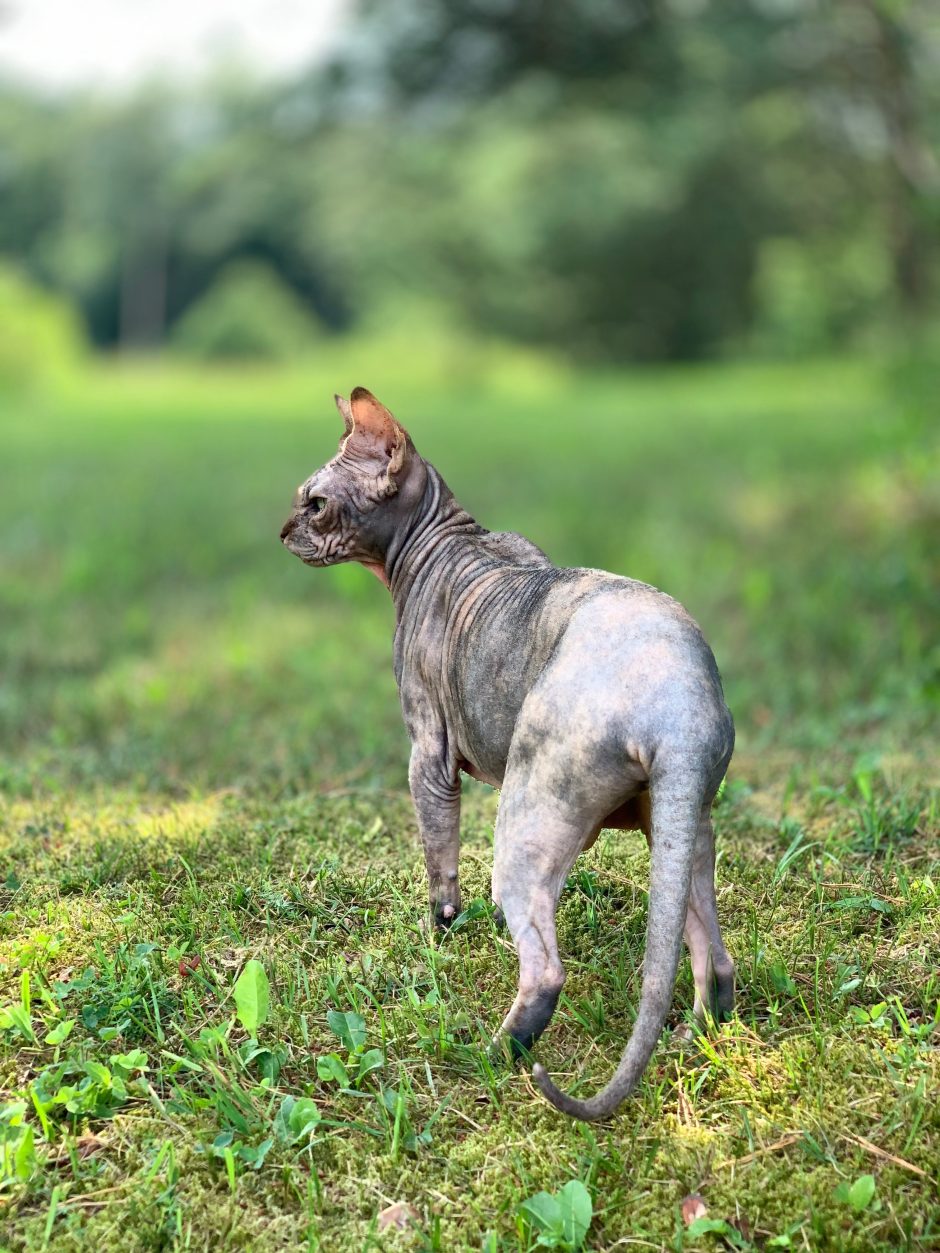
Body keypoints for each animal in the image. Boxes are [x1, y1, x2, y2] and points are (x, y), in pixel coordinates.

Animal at [279, 385, 736, 1122]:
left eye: (313, 502)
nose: (283, 530)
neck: (441, 545)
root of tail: (680, 704)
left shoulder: (428, 753)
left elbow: (439, 861)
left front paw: (442, 932)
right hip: (681, 823)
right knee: (712, 958)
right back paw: (696, 1039)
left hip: (530, 808)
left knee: (545, 966)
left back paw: (494, 1056)